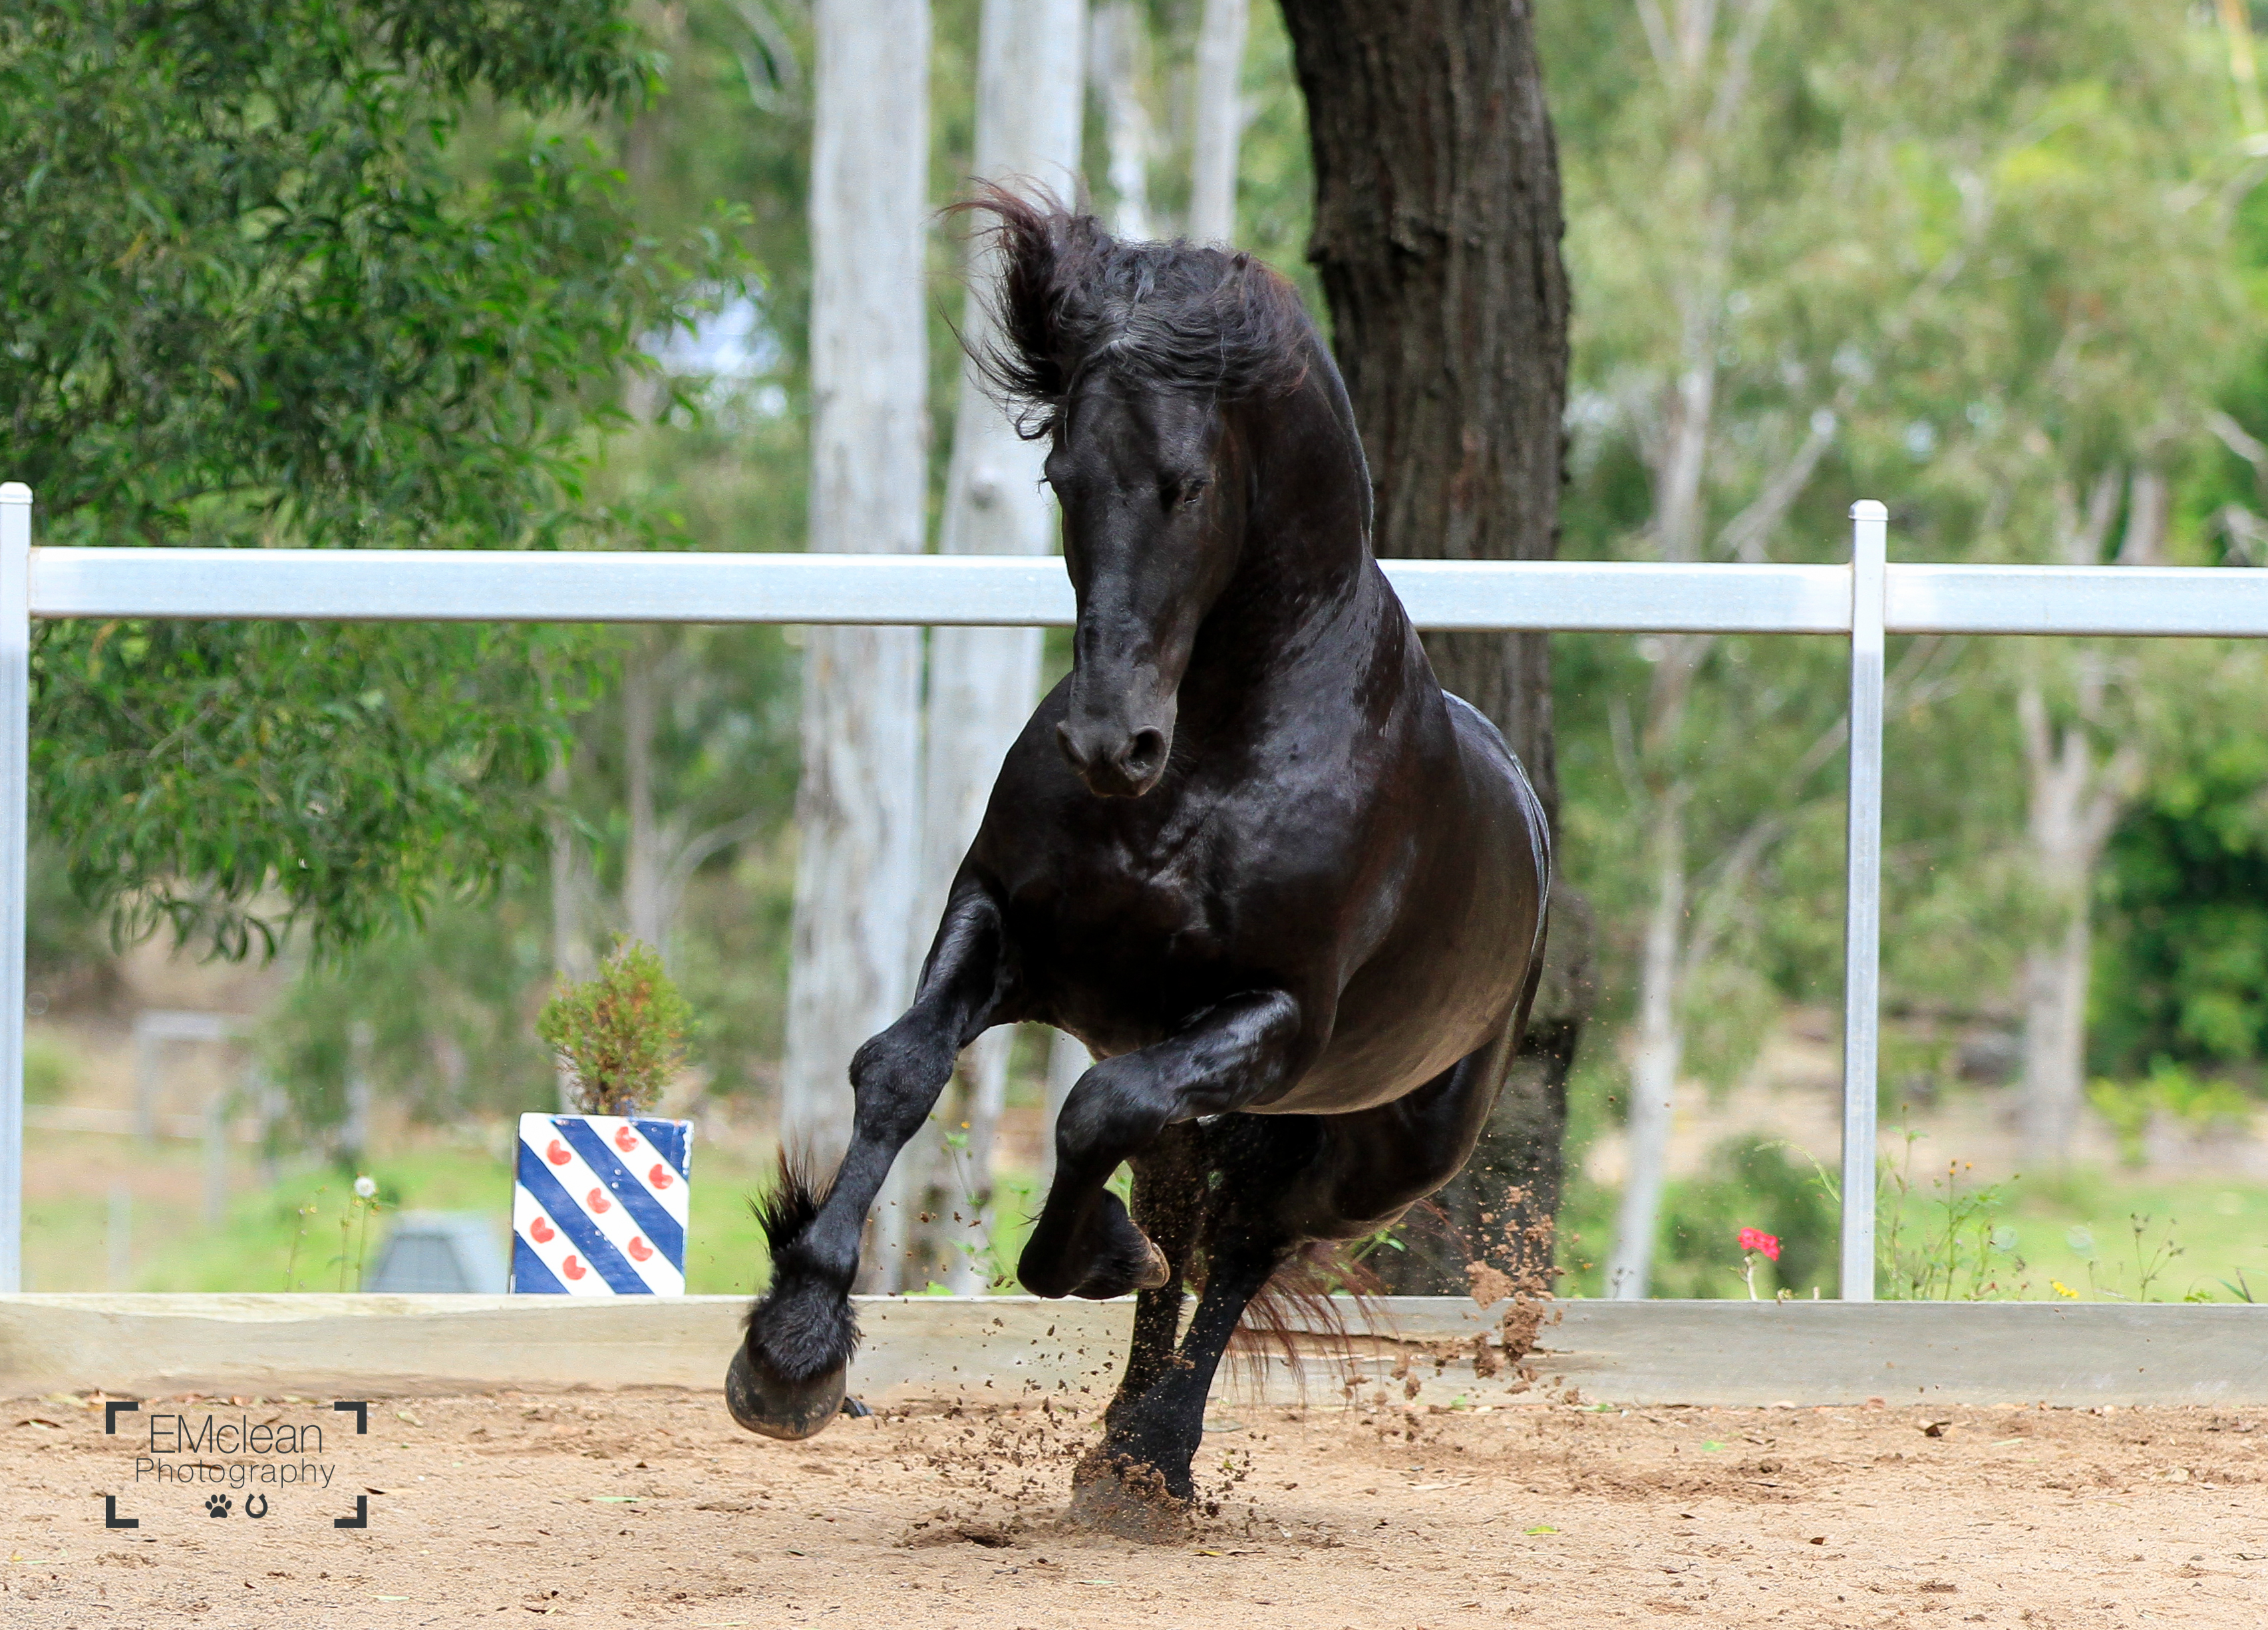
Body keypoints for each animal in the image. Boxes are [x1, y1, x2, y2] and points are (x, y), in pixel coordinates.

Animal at [734, 195, 1551, 1532]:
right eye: (1062, 476)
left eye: (1188, 483)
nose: (1110, 742)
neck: (1210, 763)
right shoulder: (1006, 929)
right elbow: (899, 1070)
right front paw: (791, 1352)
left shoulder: (1273, 1018)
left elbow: (1091, 1117)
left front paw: (1096, 1254)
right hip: (1214, 1099)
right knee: (1194, 1217)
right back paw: (1117, 1448)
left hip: (1373, 1148)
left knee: (1247, 1240)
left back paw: (1156, 1457)